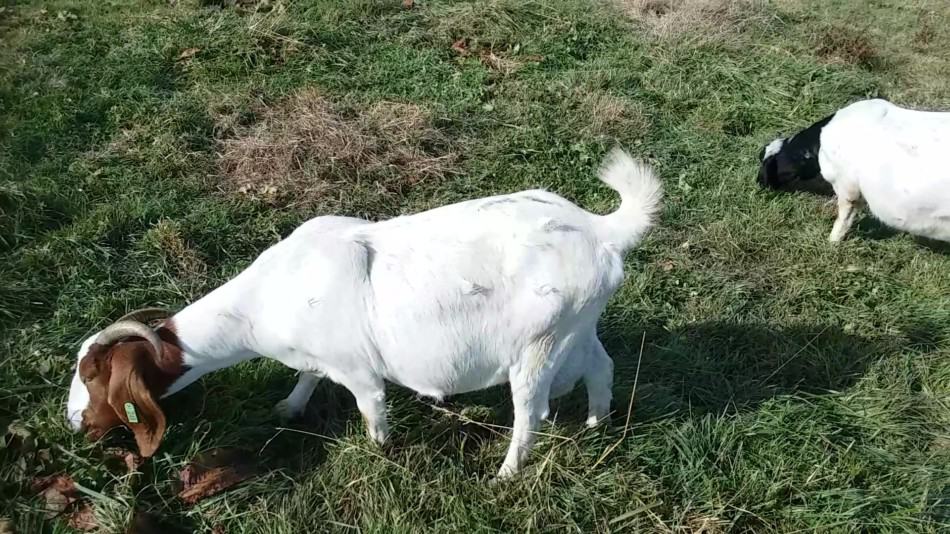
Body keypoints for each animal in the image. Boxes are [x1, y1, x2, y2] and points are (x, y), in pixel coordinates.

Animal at [67, 149, 660, 480]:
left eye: (93, 377)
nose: (75, 423)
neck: (268, 299)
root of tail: (601, 229)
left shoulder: (358, 370)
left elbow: (372, 415)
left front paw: (380, 456)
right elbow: (307, 377)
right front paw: (288, 407)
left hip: (538, 345)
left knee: (530, 412)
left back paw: (506, 475)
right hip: (578, 327)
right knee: (601, 367)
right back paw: (597, 424)